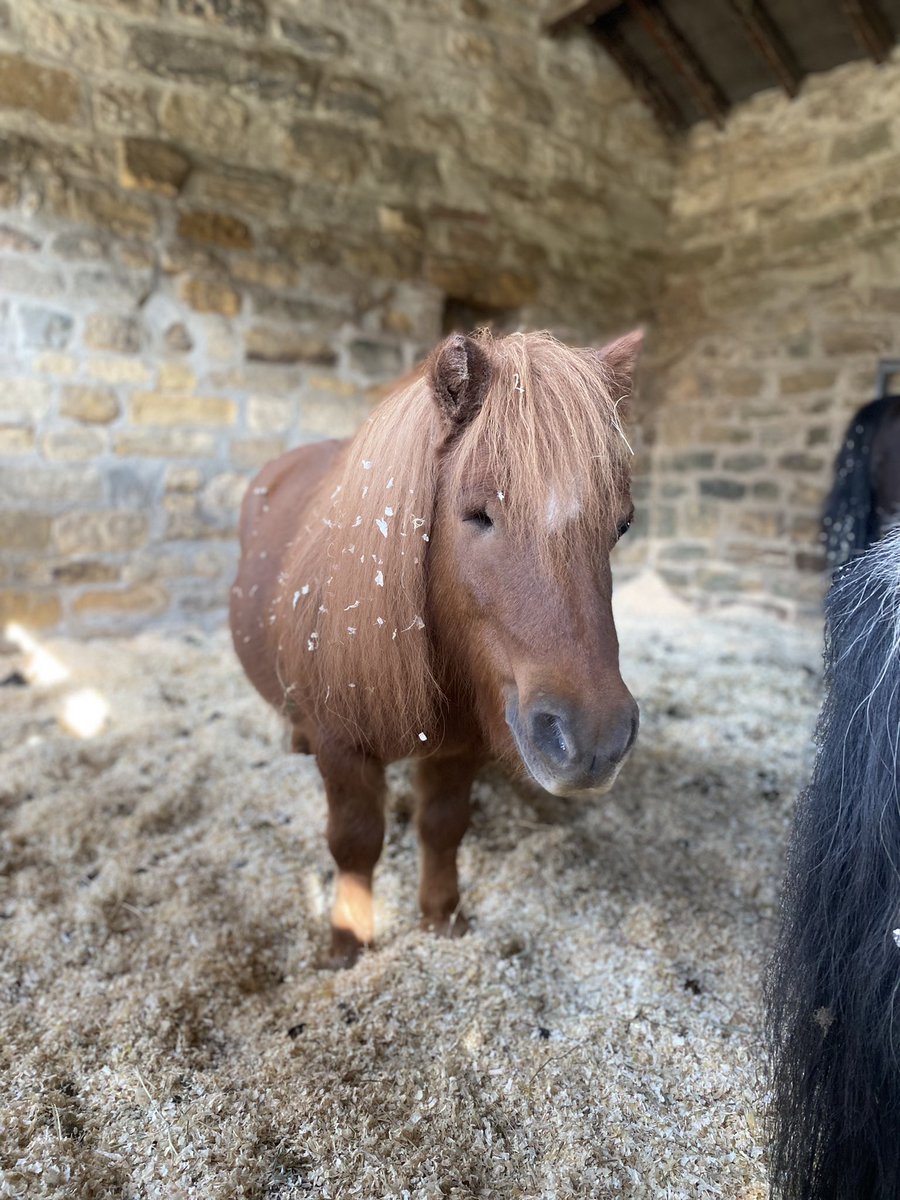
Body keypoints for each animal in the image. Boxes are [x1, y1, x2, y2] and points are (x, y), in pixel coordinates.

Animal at [230, 329, 642, 966]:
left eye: (621, 525)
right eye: (478, 514)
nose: (595, 740)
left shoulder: (460, 749)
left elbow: (443, 828)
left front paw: (441, 919)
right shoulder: (341, 745)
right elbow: (354, 842)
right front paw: (347, 943)